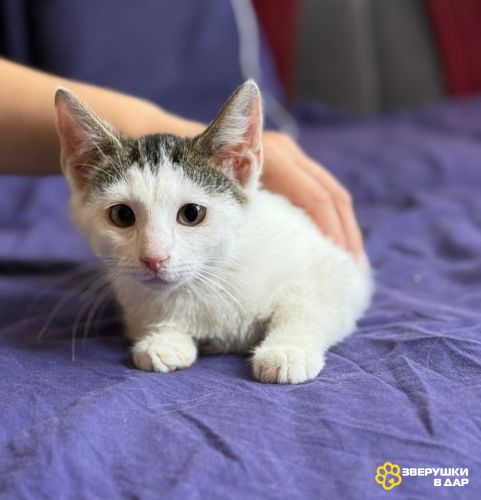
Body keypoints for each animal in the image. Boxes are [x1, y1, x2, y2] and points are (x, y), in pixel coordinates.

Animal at [54, 80, 373, 384]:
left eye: (192, 214)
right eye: (121, 215)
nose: (154, 258)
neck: (206, 280)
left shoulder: (341, 270)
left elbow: (307, 305)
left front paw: (286, 351)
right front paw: (164, 341)